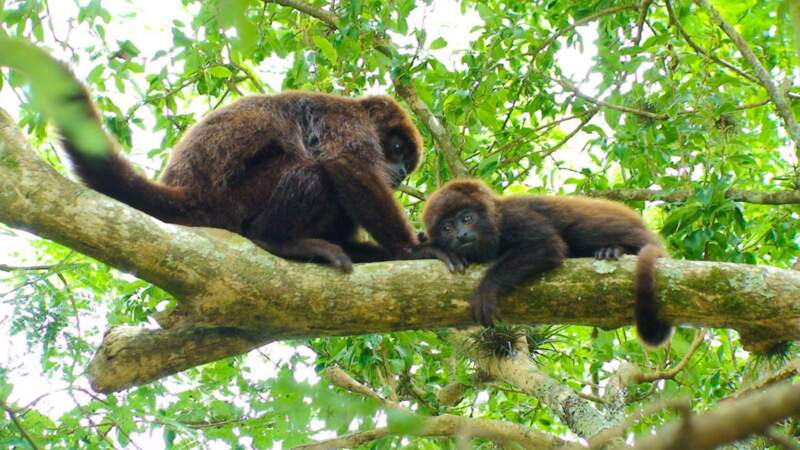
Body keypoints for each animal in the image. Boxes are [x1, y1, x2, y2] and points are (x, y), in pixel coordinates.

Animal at [57, 81, 461, 272]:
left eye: (407, 164)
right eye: (396, 148)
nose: (398, 172)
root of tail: (188, 195)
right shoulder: (345, 119)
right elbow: (346, 165)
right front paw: (412, 250)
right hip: (235, 201)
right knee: (311, 171)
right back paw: (277, 240)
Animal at [422, 179, 672, 347]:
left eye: (467, 218)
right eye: (447, 227)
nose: (461, 235)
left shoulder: (515, 215)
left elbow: (547, 245)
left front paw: (486, 289)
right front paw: (433, 249)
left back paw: (614, 249)